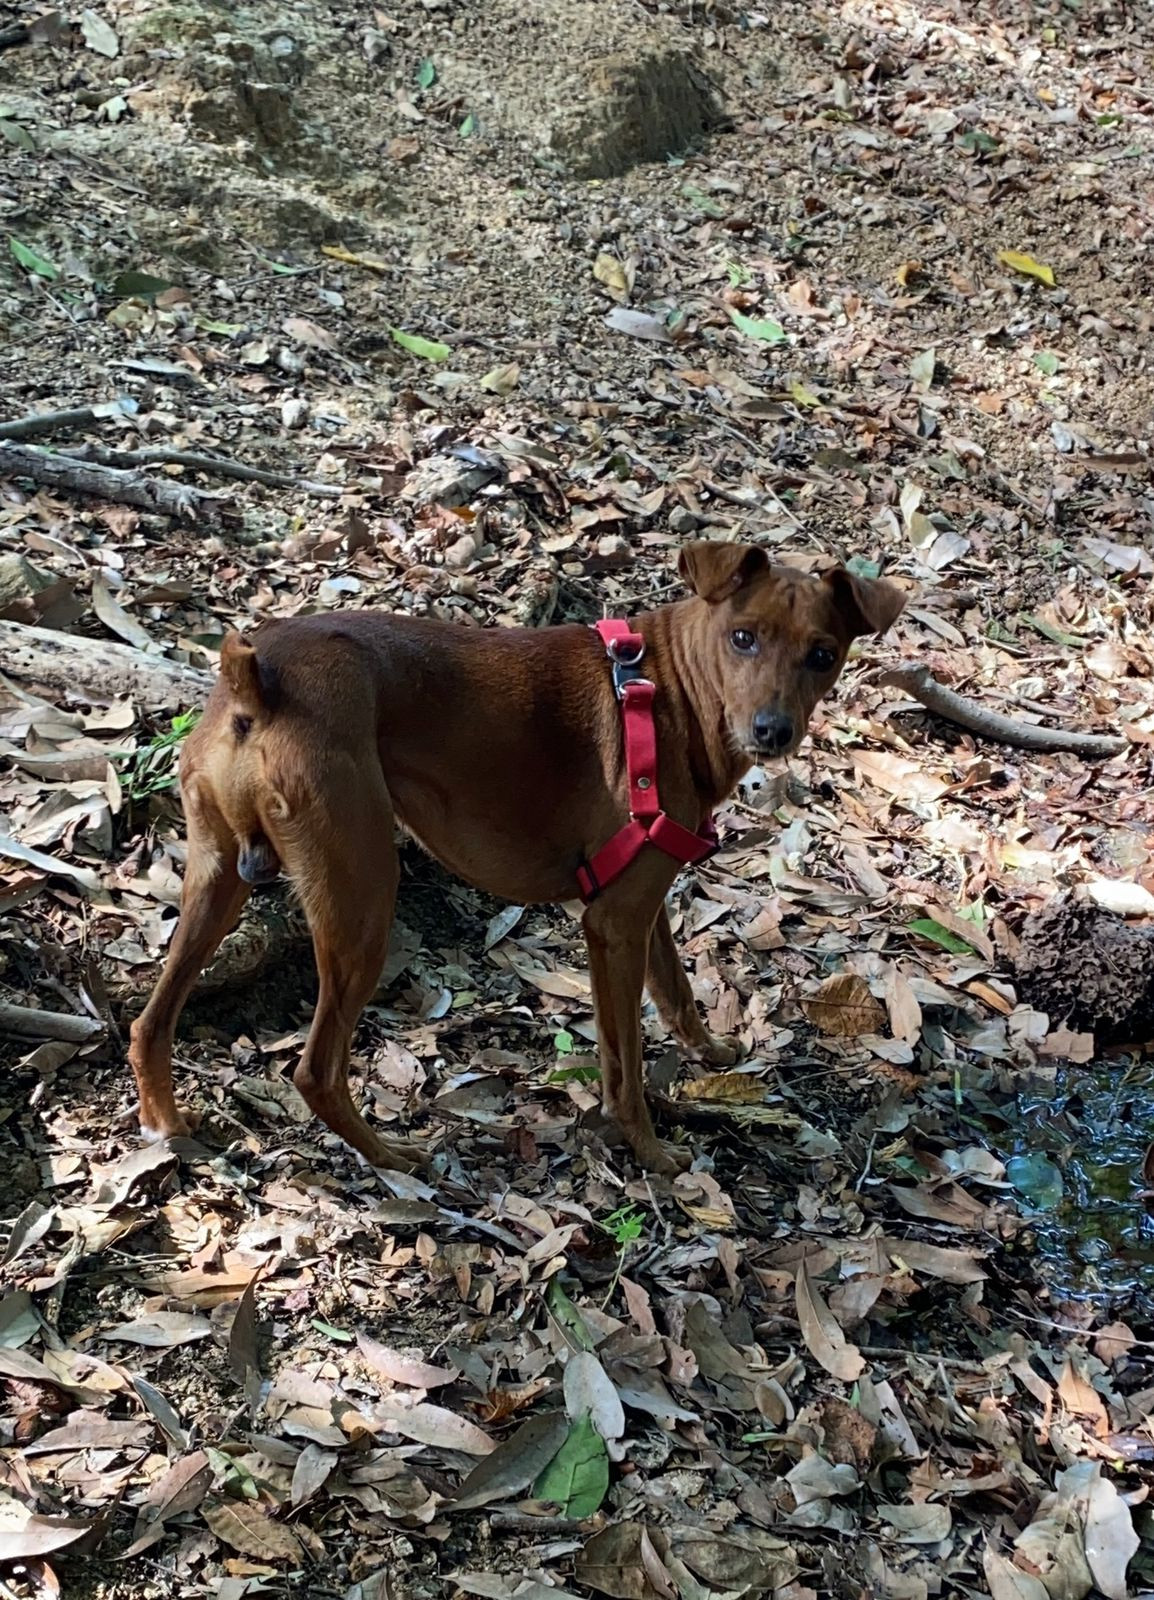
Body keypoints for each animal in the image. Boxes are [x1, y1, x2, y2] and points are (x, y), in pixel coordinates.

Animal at [128, 541, 905, 1175]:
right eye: (743, 638)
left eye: (823, 655)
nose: (772, 730)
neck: (669, 690)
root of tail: (256, 680)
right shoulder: (614, 924)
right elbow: (625, 1067)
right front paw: (653, 1154)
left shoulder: (635, 904)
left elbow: (677, 988)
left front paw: (710, 1053)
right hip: (363, 897)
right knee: (315, 1069)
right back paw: (392, 1156)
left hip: (216, 881)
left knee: (150, 1022)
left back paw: (168, 1125)